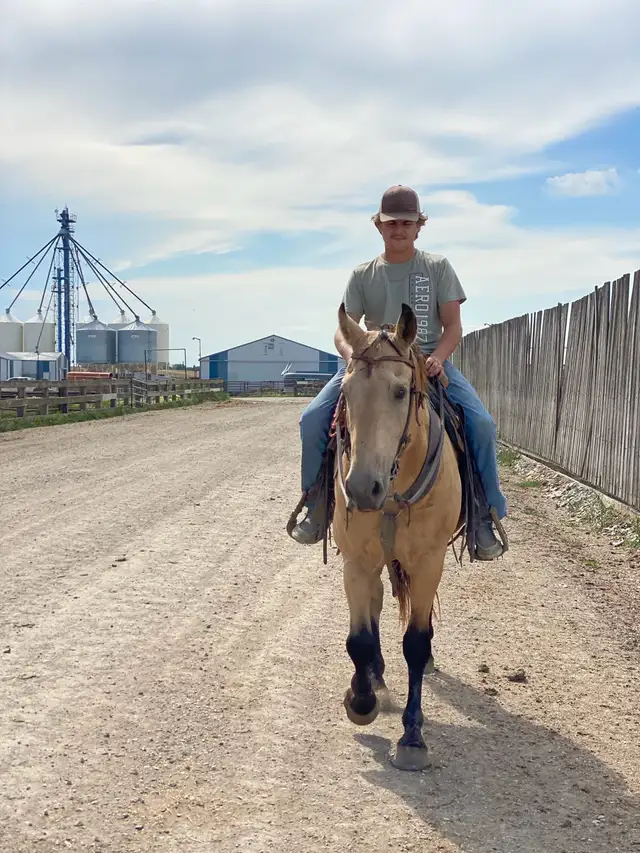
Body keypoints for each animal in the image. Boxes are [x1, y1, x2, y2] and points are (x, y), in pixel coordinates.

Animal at [331, 302, 463, 771]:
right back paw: (374, 679)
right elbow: (359, 639)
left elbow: (417, 645)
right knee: (372, 608)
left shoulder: (428, 564)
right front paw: (362, 700)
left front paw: (412, 737)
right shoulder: (356, 560)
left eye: (401, 391)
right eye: (346, 391)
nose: (360, 489)